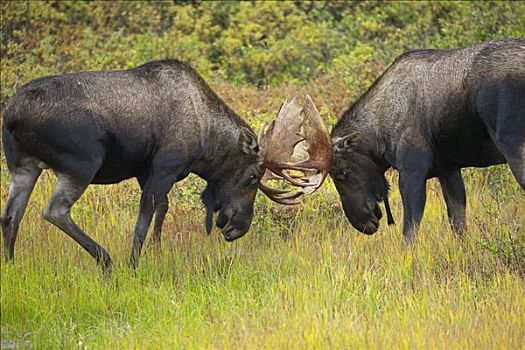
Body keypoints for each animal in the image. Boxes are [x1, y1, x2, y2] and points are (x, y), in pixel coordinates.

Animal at [2, 59, 332, 274]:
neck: (206, 142)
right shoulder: (164, 166)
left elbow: (161, 210)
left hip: (23, 166)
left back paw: (11, 265)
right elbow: (143, 219)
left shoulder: (145, 171)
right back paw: (106, 261)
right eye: (253, 176)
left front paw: (157, 254)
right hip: (82, 163)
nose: (239, 227)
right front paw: (134, 265)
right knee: (54, 210)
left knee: (11, 215)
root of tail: (11, 115)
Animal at [330, 39, 520, 241]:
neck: (379, 136)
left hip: (513, 146)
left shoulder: (412, 172)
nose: (360, 224)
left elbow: (409, 231)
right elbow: (458, 223)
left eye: (342, 172)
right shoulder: (448, 170)